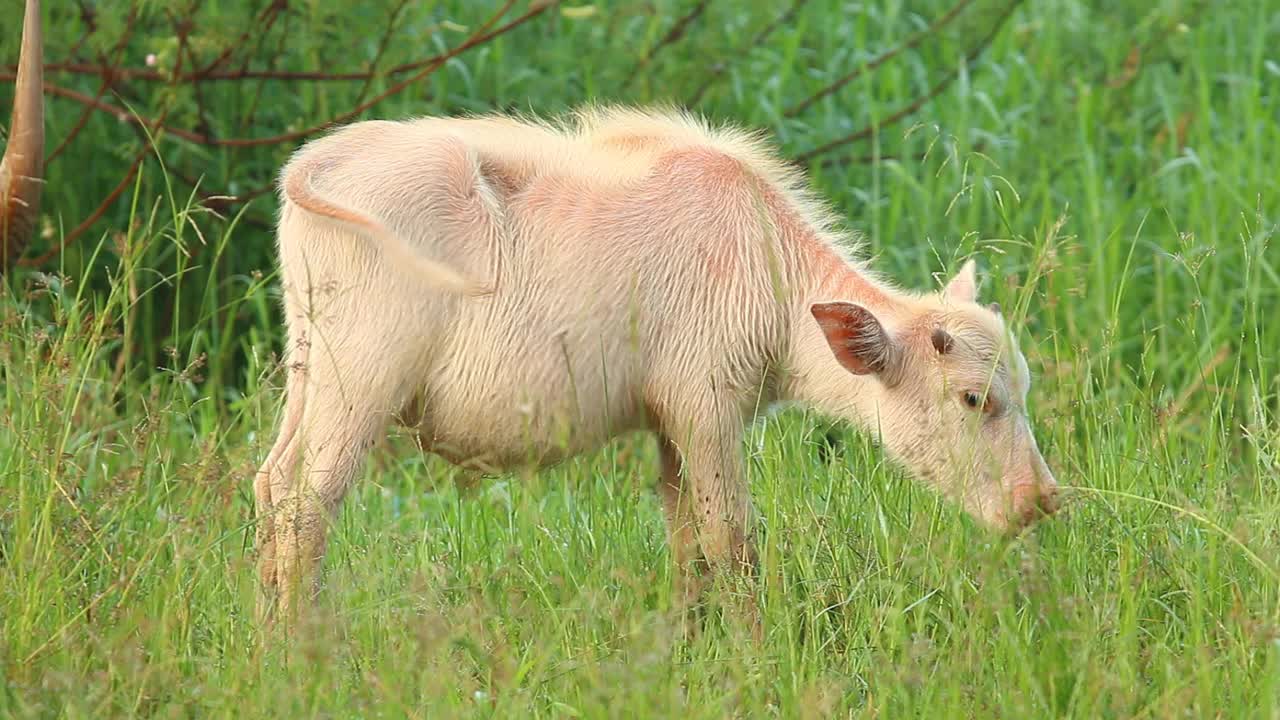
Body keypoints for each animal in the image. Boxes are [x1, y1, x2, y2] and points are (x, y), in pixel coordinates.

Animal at [257, 103, 1059, 620]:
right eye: (973, 399)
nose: (1042, 500)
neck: (765, 268)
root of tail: (321, 159)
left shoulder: (672, 424)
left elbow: (686, 542)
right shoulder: (708, 410)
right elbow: (731, 540)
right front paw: (750, 653)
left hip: (308, 370)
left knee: (271, 485)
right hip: (361, 381)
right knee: (309, 504)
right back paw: (305, 654)